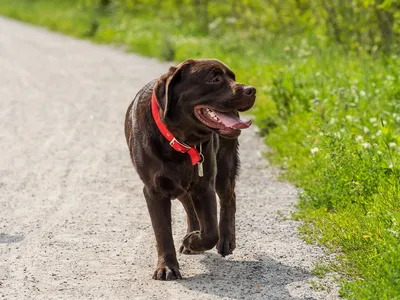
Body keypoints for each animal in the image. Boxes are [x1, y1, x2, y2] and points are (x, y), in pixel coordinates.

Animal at [124, 59, 256, 280]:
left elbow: (211, 232)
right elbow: (162, 232)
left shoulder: (205, 185)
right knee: (188, 204)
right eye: (214, 78)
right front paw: (167, 267)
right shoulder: (154, 190)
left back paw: (225, 240)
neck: (179, 140)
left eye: (233, 77)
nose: (251, 90)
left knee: (229, 198)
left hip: (224, 166)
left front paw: (193, 241)